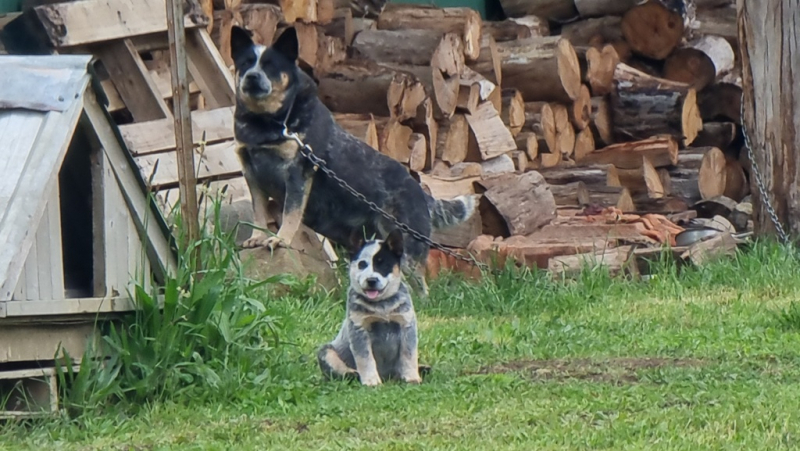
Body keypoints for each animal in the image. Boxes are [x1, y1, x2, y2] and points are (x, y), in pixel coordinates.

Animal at [228, 24, 478, 294]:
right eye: (246, 62)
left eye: (271, 65)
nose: (252, 77)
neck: (269, 124)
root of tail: (421, 193)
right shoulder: (251, 172)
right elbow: (259, 211)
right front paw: (257, 237)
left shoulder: (298, 172)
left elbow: (291, 214)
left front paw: (279, 239)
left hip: (406, 250)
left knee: (419, 287)